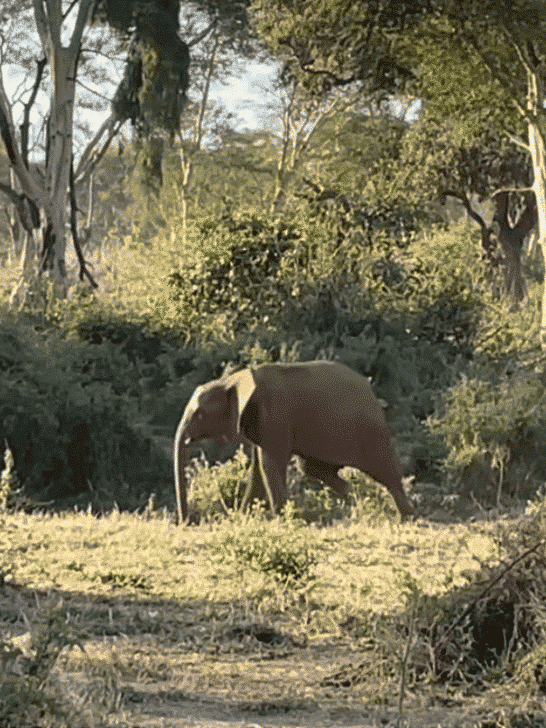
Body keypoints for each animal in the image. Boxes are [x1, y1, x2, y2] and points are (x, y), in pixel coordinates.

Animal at [173, 360, 415, 524]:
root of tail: (375, 397)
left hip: (371, 432)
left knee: (386, 473)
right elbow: (259, 468)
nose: (189, 522)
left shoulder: (274, 415)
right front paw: (243, 519)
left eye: (199, 415)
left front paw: (280, 520)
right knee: (312, 468)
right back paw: (357, 502)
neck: (234, 380)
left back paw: (406, 518)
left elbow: (270, 465)